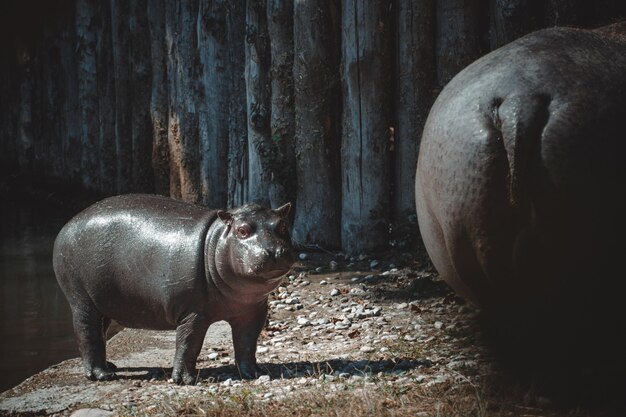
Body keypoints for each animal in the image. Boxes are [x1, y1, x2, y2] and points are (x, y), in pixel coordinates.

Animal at [53, 194, 292, 384]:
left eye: (282, 226)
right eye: (242, 230)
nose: (275, 251)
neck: (216, 241)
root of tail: (67, 225)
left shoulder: (253, 311)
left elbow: (247, 343)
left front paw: (255, 373)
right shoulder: (193, 313)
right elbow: (188, 344)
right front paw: (184, 380)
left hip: (102, 303)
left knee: (99, 331)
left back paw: (110, 366)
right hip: (82, 300)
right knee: (87, 332)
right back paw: (102, 375)